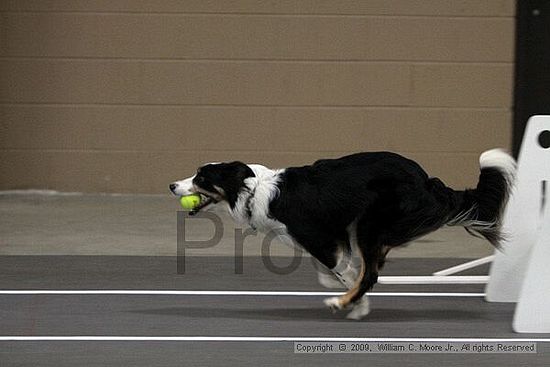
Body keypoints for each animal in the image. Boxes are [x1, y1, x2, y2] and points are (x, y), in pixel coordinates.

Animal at [169, 151, 516, 320]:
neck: (252, 190)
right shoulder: (335, 235)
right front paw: (355, 301)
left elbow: (344, 271)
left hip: (371, 224)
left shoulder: (320, 238)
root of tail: (426, 180)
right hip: (368, 227)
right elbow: (336, 271)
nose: (172, 185)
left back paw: (340, 303)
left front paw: (354, 303)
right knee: (372, 266)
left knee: (371, 274)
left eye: (201, 177)